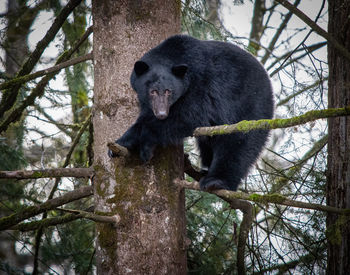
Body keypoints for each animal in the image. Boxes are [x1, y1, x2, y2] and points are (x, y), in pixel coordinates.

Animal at [109, 34, 274, 192]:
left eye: (169, 90)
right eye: (153, 91)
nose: (162, 113)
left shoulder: (201, 84)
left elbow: (188, 116)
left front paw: (138, 143)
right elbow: (147, 114)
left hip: (248, 110)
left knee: (238, 144)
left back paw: (216, 181)